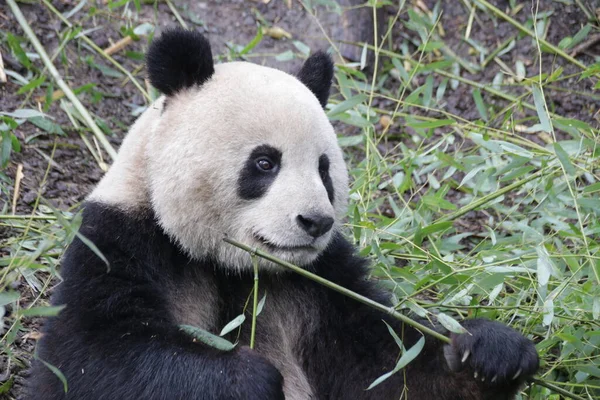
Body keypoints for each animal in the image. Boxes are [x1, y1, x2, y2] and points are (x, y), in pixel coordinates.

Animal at [27, 28, 540, 400]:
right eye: (264, 163)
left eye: (324, 168)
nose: (315, 223)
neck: (236, 266)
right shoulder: (122, 240)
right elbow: (90, 363)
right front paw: (246, 378)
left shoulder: (319, 286)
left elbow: (388, 370)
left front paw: (489, 354)